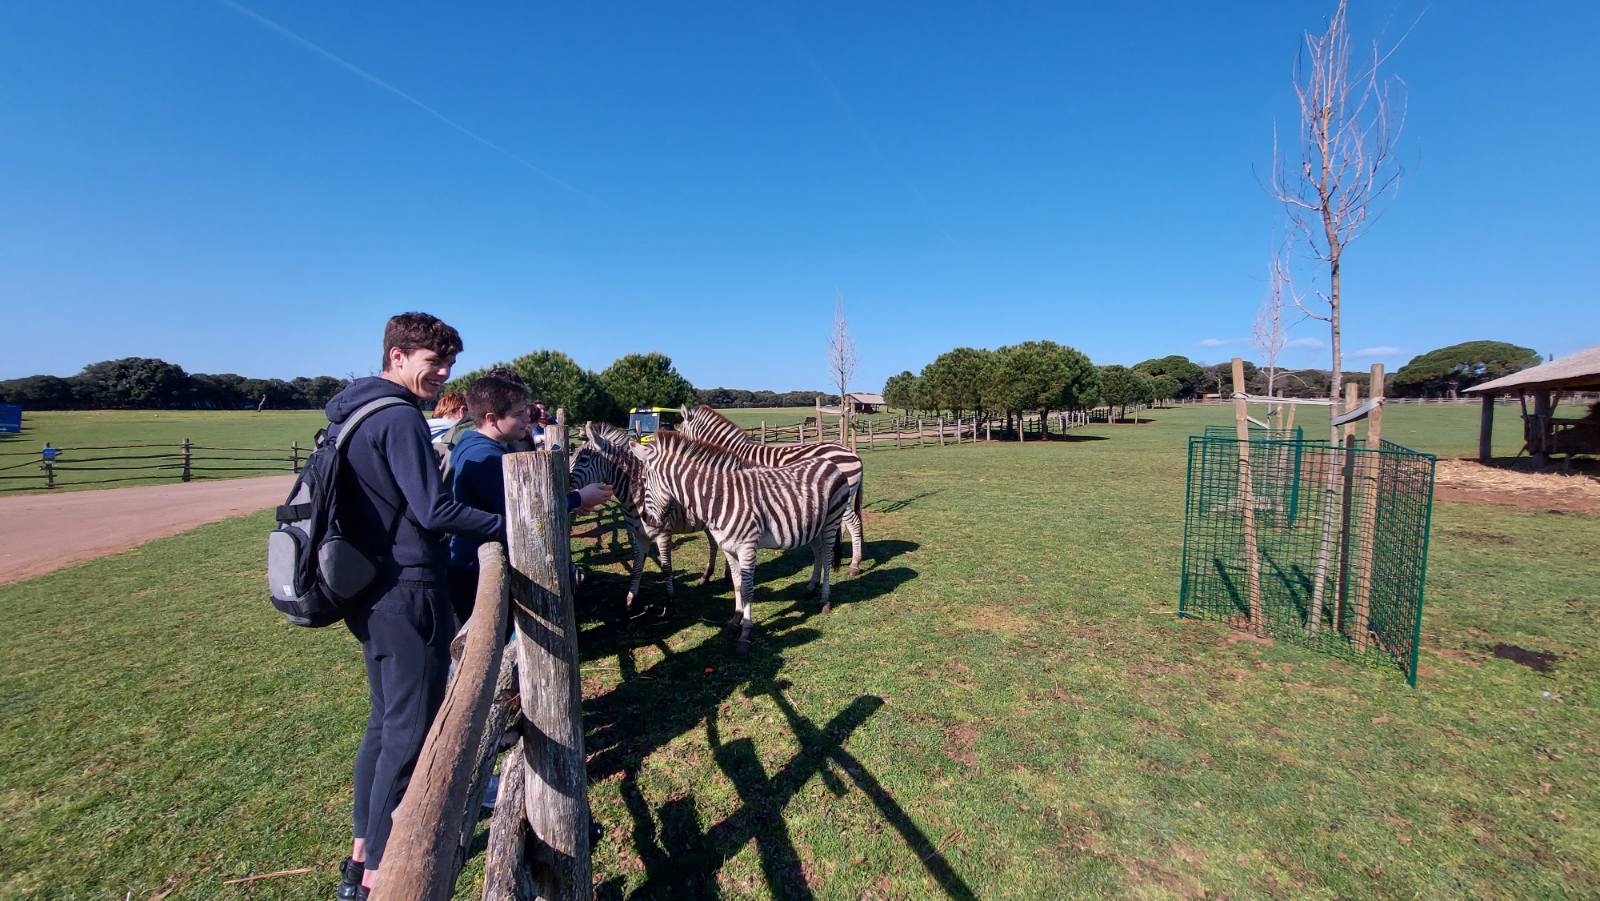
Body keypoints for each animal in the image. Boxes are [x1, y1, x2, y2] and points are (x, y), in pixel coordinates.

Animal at [563, 422, 713, 614]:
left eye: (582, 459)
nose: (564, 487)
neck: (635, 494)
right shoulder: (638, 534)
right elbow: (636, 567)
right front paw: (630, 601)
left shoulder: (663, 534)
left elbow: (666, 568)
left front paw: (671, 601)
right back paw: (709, 576)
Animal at [627, 432, 857, 656]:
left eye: (644, 480)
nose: (646, 520)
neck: (720, 499)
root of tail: (829, 463)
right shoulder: (728, 548)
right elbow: (737, 586)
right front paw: (734, 622)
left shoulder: (747, 548)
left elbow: (747, 590)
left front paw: (745, 634)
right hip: (813, 527)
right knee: (818, 553)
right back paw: (811, 588)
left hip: (832, 519)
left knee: (827, 557)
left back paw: (825, 600)